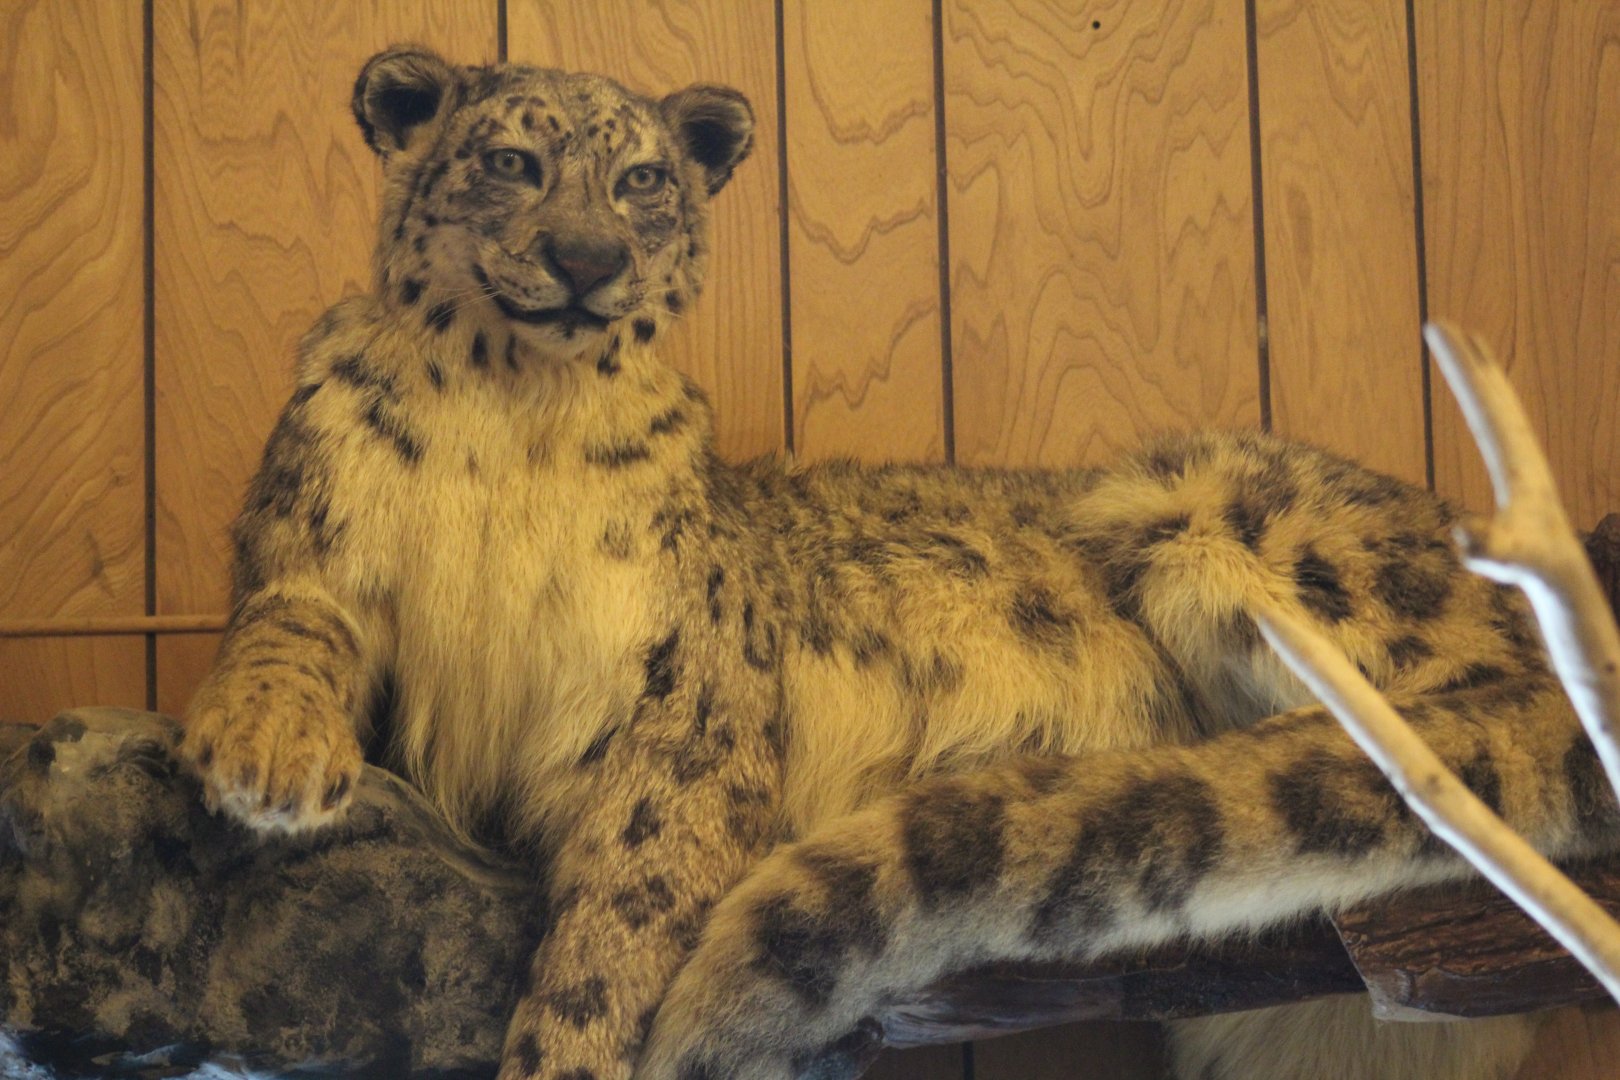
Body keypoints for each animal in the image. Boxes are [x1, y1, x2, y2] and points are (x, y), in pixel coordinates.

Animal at [179, 46, 1619, 1080]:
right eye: (514, 160)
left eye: (643, 181)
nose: (588, 260)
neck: (513, 411)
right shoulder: (313, 553)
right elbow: (283, 627)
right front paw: (266, 753)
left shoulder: (682, 710)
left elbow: (619, 919)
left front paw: (568, 1051)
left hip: (1232, 513)